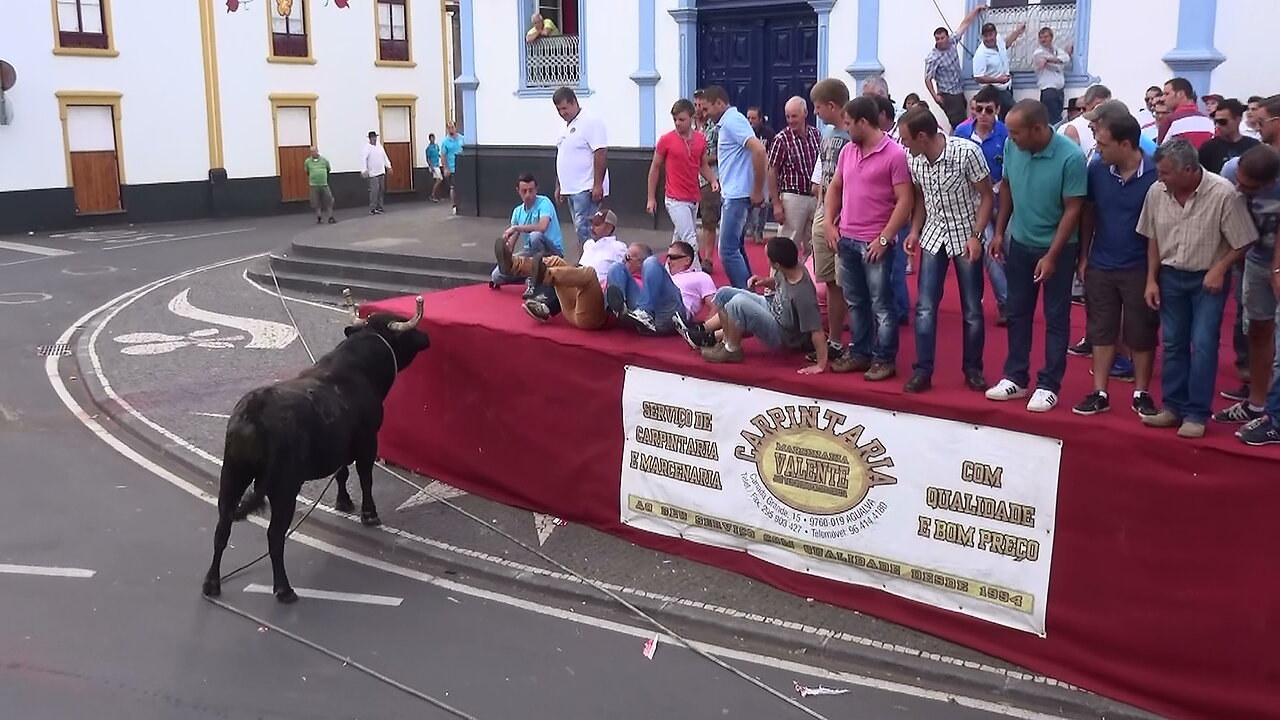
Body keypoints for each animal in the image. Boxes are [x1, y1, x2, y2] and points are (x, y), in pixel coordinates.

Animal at [202, 292, 432, 599]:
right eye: (405, 331)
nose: (427, 337)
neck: (358, 368)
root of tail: (255, 409)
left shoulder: (340, 447)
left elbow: (342, 472)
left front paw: (343, 502)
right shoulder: (367, 440)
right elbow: (365, 476)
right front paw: (369, 514)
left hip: (232, 476)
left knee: (222, 528)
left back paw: (212, 583)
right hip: (283, 488)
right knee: (275, 536)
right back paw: (284, 589)